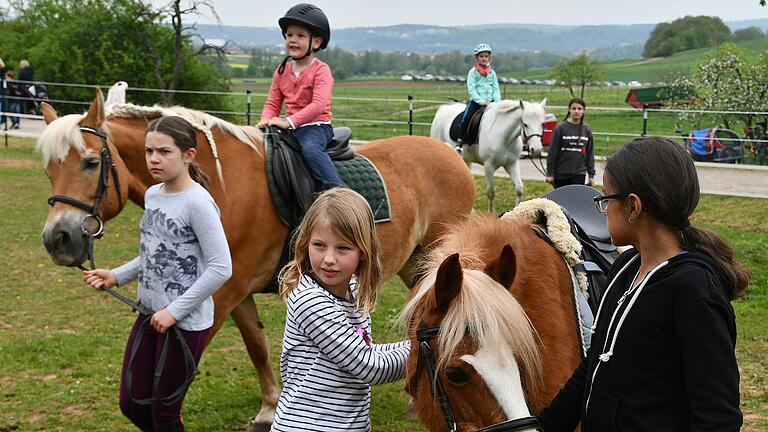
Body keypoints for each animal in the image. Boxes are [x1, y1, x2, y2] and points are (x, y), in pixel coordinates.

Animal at [40, 91, 480, 428]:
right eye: (48, 169)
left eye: (91, 162)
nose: (57, 239)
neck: (219, 185)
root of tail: (450, 154)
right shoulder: (237, 291)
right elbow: (256, 346)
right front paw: (269, 408)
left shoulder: (218, 294)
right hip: (412, 263)